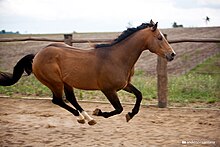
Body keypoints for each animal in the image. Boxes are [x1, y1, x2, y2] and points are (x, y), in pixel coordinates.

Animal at [0, 19, 175, 125]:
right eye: (160, 38)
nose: (172, 54)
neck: (117, 57)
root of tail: (36, 55)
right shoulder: (108, 89)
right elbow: (118, 108)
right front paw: (99, 112)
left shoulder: (124, 85)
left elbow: (139, 95)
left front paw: (130, 115)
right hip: (55, 82)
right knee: (58, 100)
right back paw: (82, 118)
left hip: (66, 82)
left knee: (70, 98)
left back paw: (88, 118)